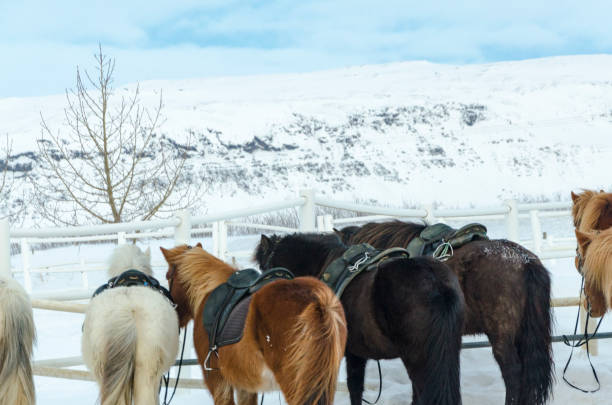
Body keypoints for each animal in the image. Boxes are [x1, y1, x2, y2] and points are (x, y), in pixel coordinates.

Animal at [160, 243, 346, 404]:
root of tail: (318, 301)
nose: (175, 316)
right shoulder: (245, 386)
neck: (209, 290)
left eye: (168, 276)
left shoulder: (218, 383)